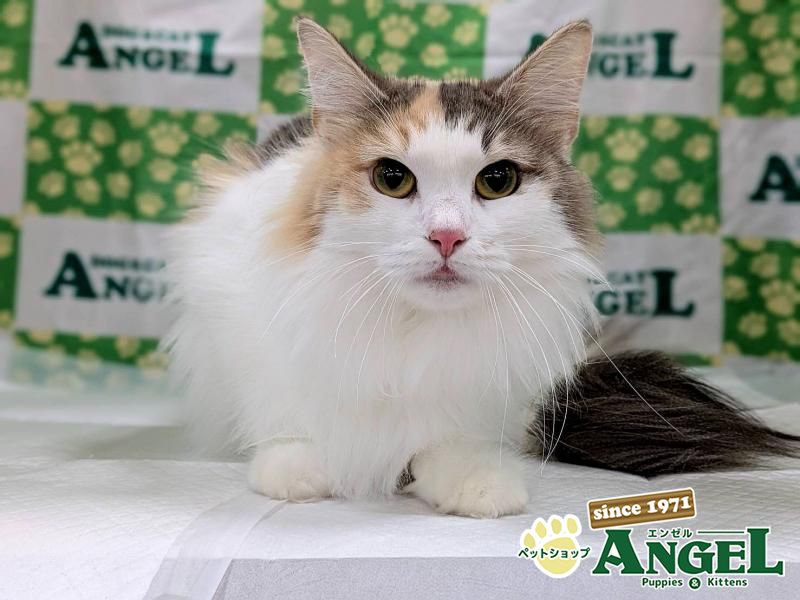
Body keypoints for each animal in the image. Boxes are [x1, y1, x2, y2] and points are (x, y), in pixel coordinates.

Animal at [166, 17, 799, 518]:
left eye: (497, 181)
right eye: (392, 178)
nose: (447, 236)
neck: (412, 331)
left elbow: (446, 438)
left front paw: (471, 480)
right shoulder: (235, 303)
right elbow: (282, 405)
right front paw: (297, 463)